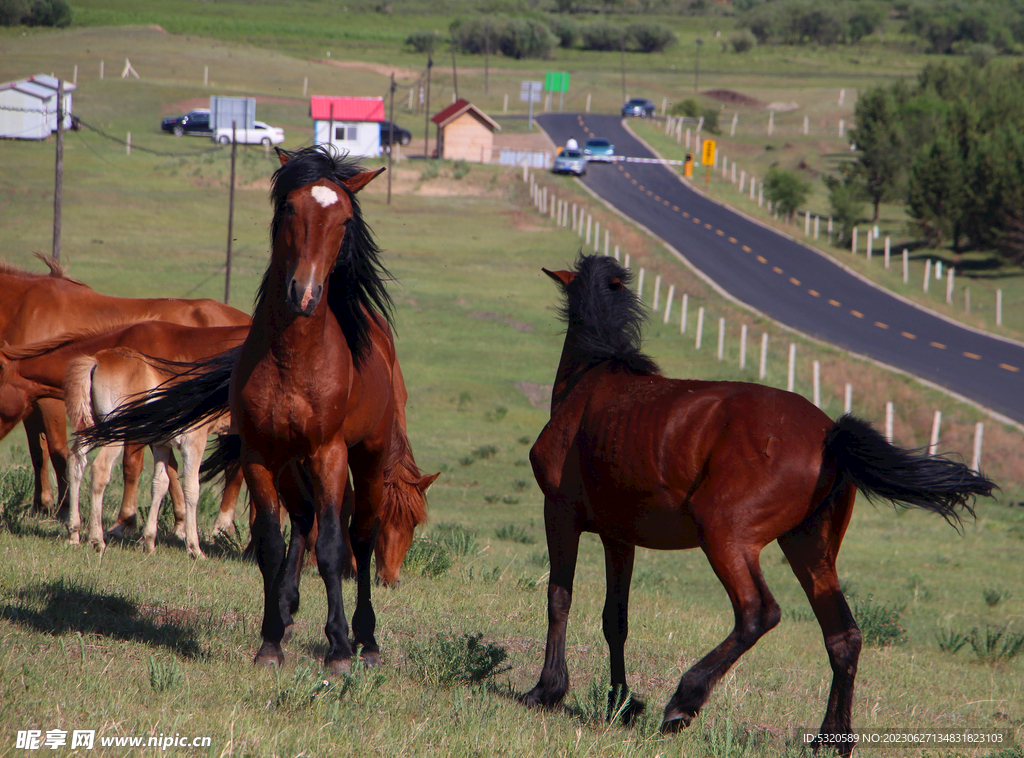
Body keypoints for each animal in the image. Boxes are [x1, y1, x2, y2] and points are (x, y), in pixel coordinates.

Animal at [524, 253, 995, 753]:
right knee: (843, 636)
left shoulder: (559, 512)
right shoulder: (619, 537)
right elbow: (616, 617)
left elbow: (559, 596)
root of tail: (829, 434)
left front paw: (548, 690)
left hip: (725, 536)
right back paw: (830, 739)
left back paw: (684, 702)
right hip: (809, 547)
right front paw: (620, 703)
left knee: (757, 613)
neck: (592, 382)